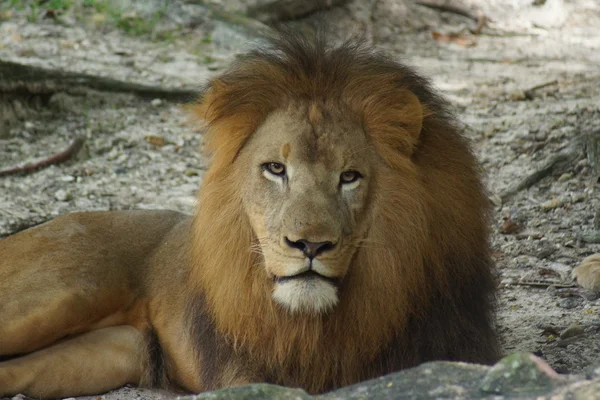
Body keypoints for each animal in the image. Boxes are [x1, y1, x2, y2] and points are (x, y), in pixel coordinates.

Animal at [0, 33, 500, 396]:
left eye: (350, 176)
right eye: (275, 169)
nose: (310, 244)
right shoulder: (243, 376)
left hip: (110, 350)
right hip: (57, 295)